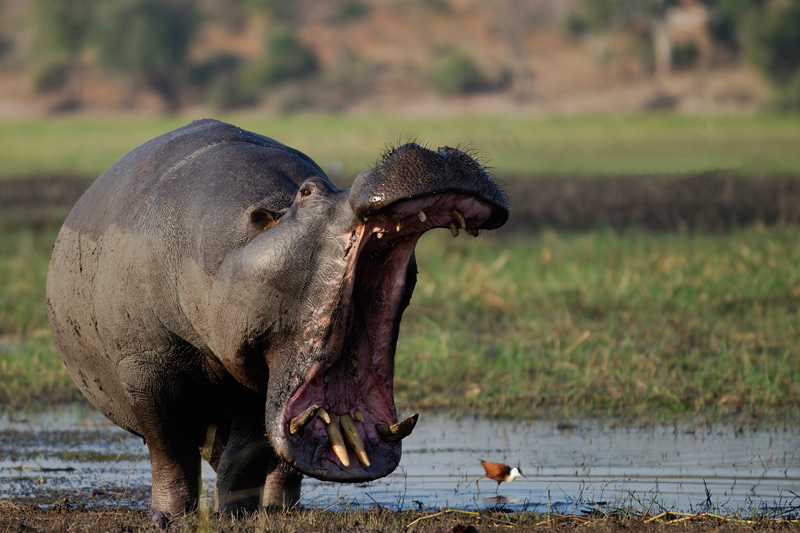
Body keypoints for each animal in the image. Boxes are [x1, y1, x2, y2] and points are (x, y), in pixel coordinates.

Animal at [45, 117, 506, 520]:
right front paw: (168, 516)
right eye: (307, 191)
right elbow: (170, 451)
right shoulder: (144, 367)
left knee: (276, 465)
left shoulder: (258, 382)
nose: (436, 153)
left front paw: (237, 514)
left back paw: (279, 510)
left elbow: (247, 453)